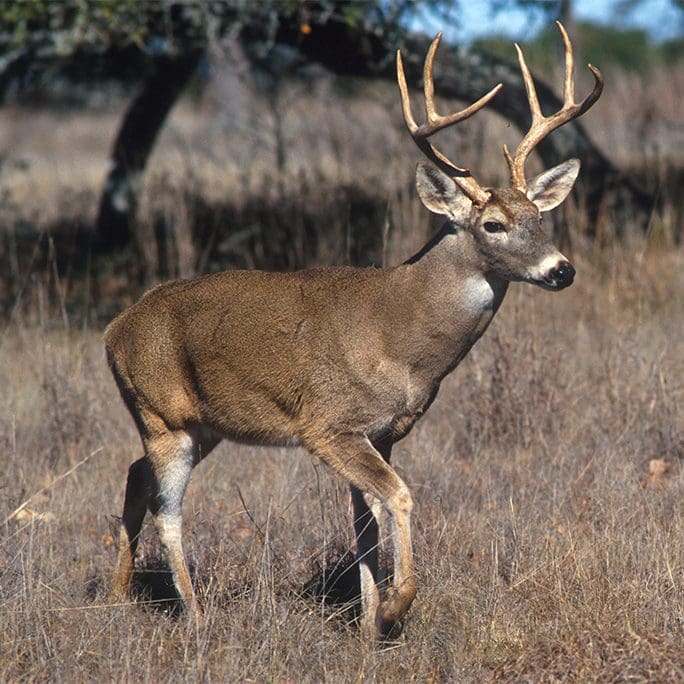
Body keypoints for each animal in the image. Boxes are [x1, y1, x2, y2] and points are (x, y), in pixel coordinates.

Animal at [105, 22, 602, 638]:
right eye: (493, 224)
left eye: (540, 218)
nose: (562, 270)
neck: (401, 338)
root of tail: (114, 330)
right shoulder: (328, 424)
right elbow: (401, 498)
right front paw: (394, 607)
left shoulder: (382, 431)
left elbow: (366, 522)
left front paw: (366, 623)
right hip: (162, 415)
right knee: (166, 510)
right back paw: (196, 617)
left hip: (201, 424)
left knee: (135, 476)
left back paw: (118, 597)